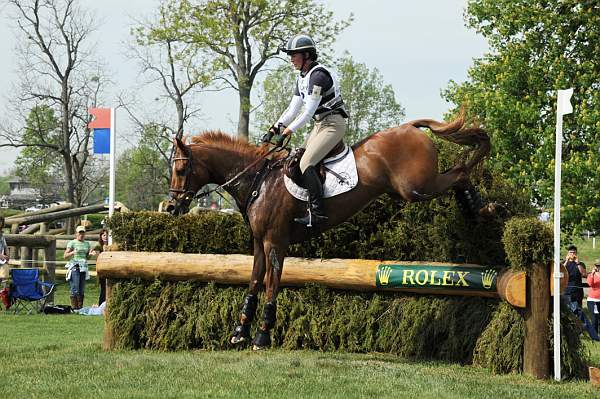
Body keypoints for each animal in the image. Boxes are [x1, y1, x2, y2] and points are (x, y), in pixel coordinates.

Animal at [166, 115, 490, 350]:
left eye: (181, 170)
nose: (171, 207)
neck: (258, 179)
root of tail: (409, 127)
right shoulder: (259, 242)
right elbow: (254, 281)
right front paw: (240, 331)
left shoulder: (275, 242)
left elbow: (271, 284)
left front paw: (262, 336)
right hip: (411, 189)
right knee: (459, 172)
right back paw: (475, 205)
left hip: (416, 188)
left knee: (461, 171)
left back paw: (481, 207)